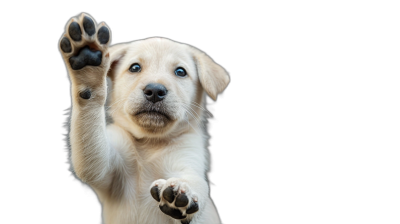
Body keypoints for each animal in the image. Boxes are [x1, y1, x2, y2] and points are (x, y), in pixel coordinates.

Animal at [57, 12, 230, 224]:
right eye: (135, 67)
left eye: (180, 72)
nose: (155, 91)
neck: (150, 144)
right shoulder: (105, 167)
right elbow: (92, 156)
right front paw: (88, 63)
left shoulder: (189, 157)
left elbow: (196, 183)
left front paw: (182, 190)